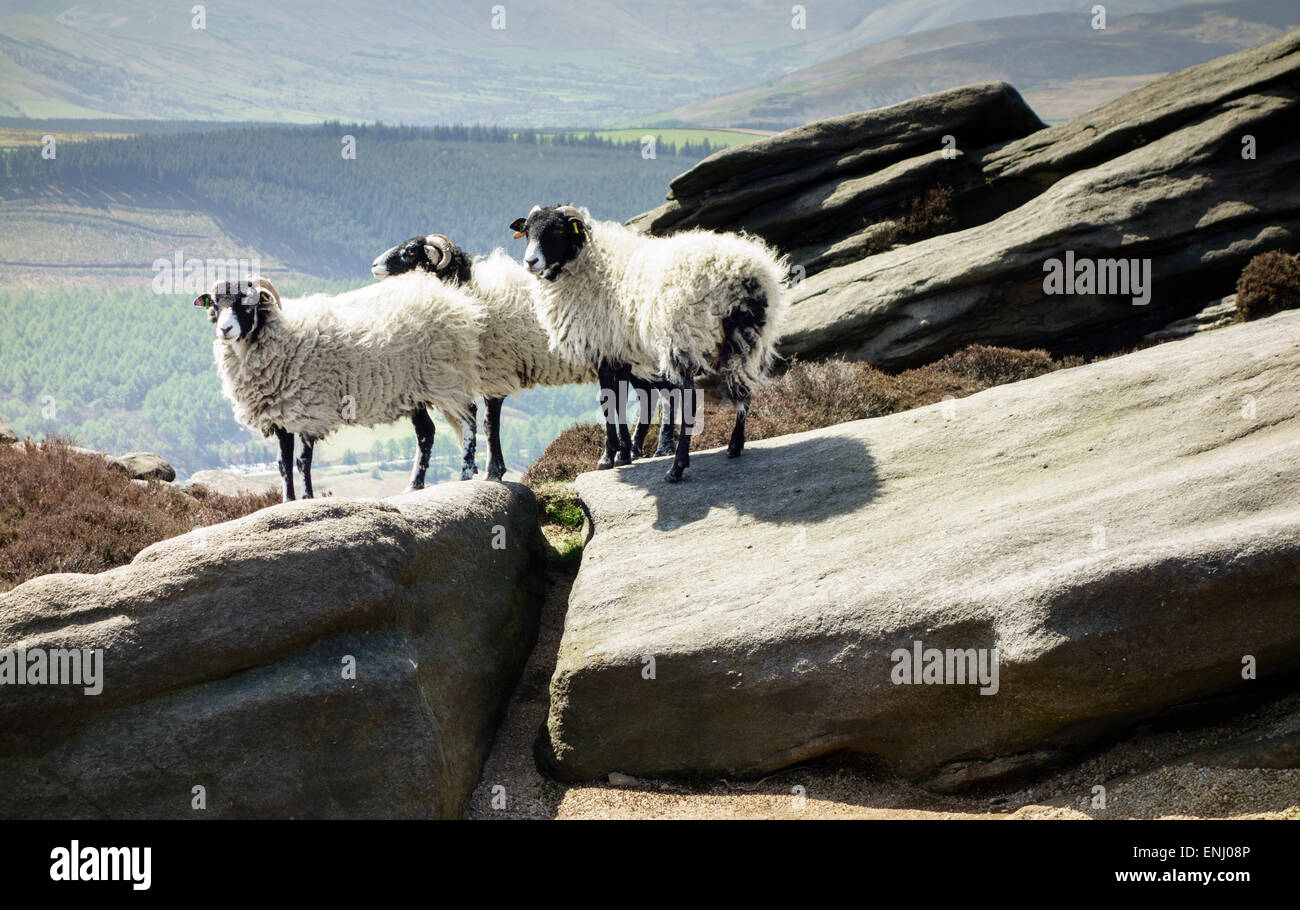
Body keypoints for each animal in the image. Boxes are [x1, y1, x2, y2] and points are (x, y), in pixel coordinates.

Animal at [193, 273, 483, 502]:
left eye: (248, 303)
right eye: (215, 304)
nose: (225, 329)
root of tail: (452, 299)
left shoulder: (309, 410)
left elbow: (302, 461)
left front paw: (307, 498)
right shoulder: (280, 414)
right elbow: (283, 464)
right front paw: (287, 501)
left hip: (446, 376)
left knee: (469, 416)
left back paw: (466, 473)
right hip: (413, 389)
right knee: (426, 433)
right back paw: (414, 485)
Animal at [370, 233, 678, 479]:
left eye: (411, 251)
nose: (374, 265)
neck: (472, 296)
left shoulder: (496, 370)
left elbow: (490, 424)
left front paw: (493, 472)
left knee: (668, 393)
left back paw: (661, 447)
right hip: (633, 363)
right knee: (649, 396)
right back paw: (639, 449)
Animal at [509, 204, 788, 482]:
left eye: (558, 230)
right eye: (527, 231)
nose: (530, 262)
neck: (588, 263)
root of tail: (741, 271)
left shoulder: (603, 350)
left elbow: (608, 401)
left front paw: (608, 456)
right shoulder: (619, 353)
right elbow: (620, 401)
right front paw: (623, 453)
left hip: (683, 338)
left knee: (689, 401)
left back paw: (677, 467)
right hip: (747, 339)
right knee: (743, 388)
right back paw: (734, 446)